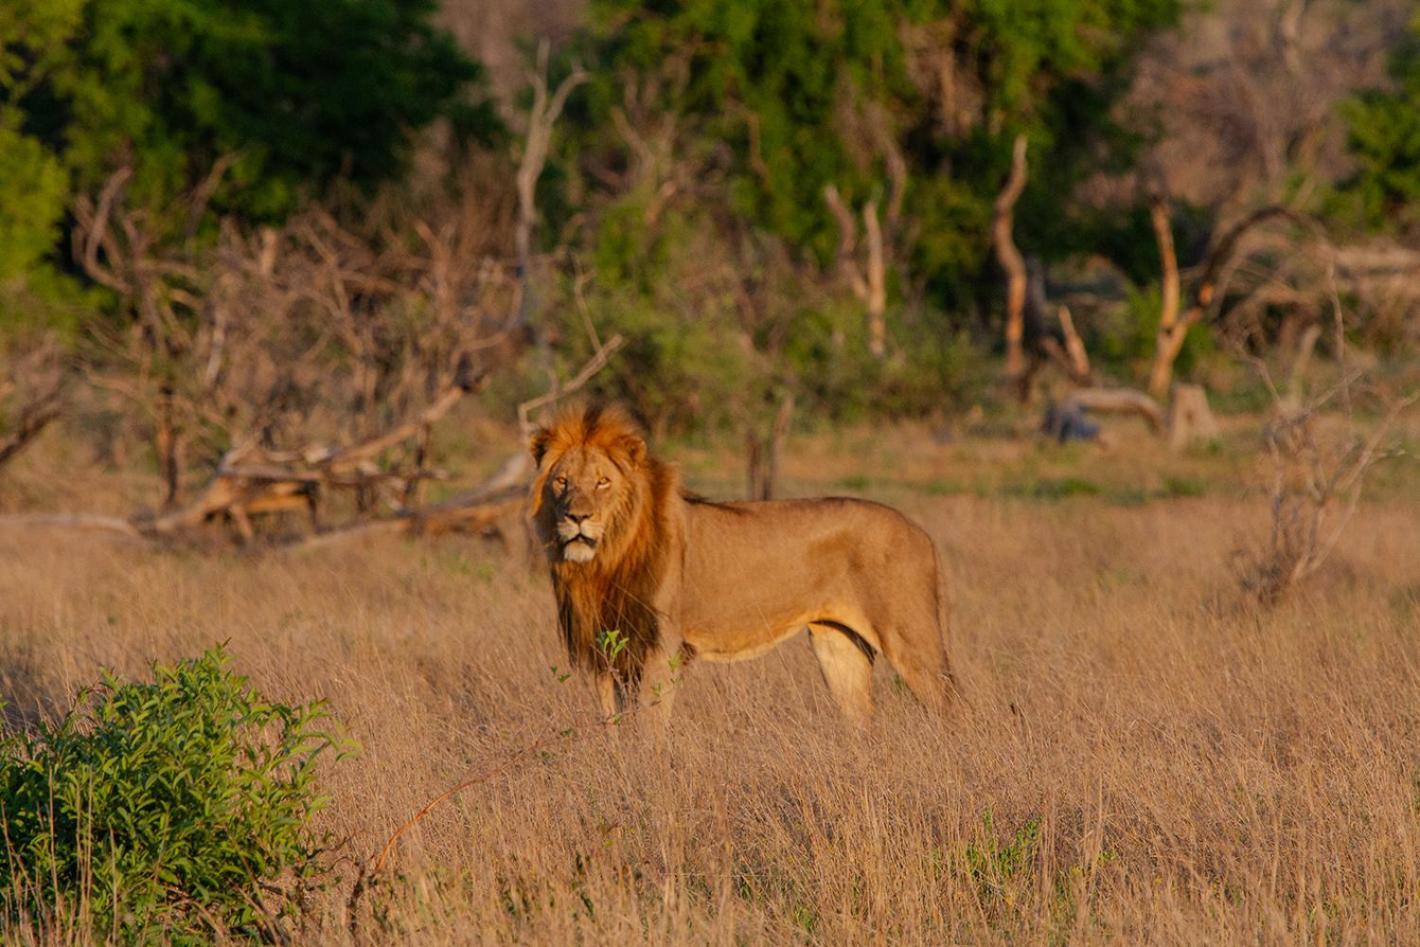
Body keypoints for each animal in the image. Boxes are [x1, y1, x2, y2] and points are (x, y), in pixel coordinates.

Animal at [531, 403, 954, 726]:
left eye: (602, 482)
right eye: (562, 481)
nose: (577, 517)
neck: (604, 561)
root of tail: (922, 532)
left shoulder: (659, 647)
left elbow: (649, 731)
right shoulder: (606, 655)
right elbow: (613, 728)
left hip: (911, 639)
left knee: (953, 709)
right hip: (839, 644)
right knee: (862, 718)